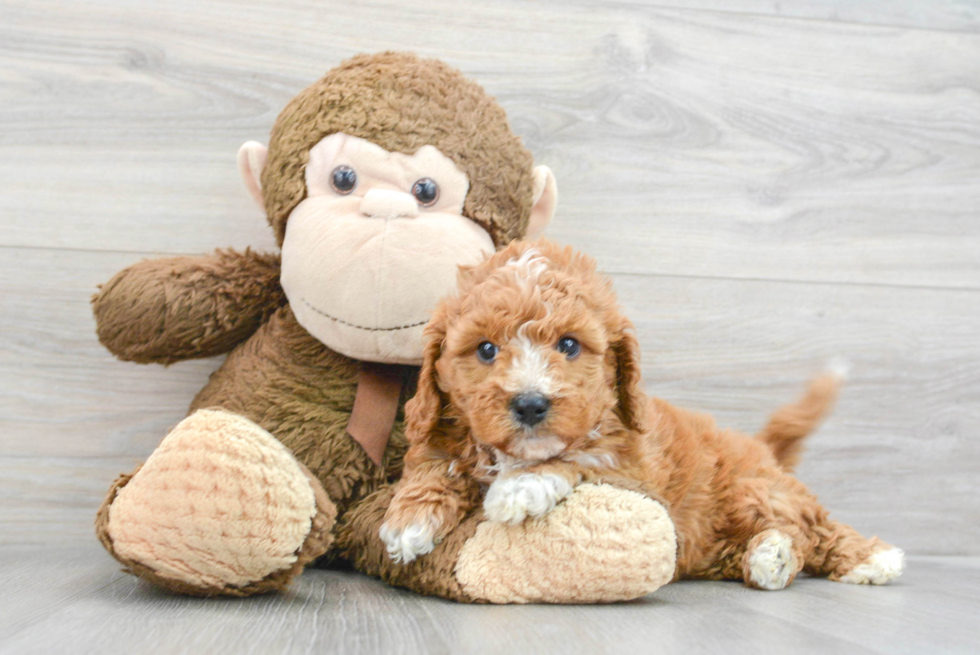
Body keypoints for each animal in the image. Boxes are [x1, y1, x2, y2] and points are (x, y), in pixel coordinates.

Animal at [380, 240, 904, 588]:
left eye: (569, 345)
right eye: (486, 349)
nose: (530, 403)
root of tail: (761, 446)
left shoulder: (634, 468)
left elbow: (581, 456)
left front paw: (520, 487)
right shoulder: (445, 433)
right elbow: (436, 465)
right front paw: (409, 520)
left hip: (756, 490)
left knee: (816, 526)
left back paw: (867, 559)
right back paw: (767, 557)